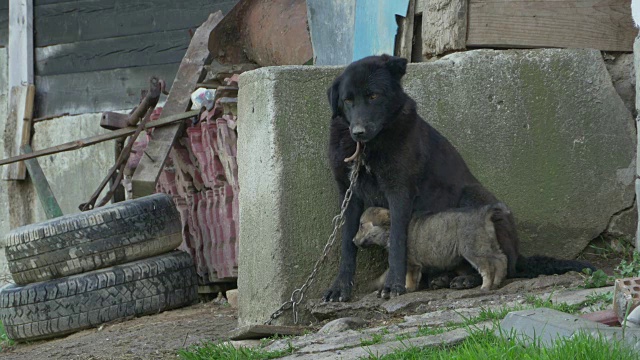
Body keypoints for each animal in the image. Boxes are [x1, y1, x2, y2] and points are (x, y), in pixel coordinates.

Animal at [356, 202, 510, 292]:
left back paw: (485, 286)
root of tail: (485, 212)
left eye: (361, 225)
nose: (353, 240)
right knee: (502, 259)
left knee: (487, 268)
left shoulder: (411, 263)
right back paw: (497, 283)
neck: (390, 230)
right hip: (489, 246)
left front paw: (407, 288)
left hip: (473, 250)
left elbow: (409, 277)